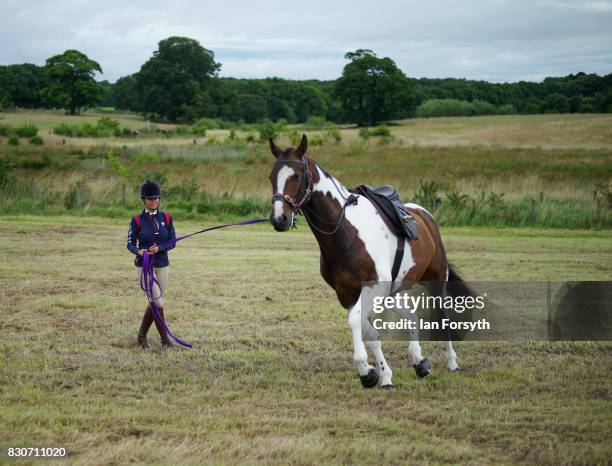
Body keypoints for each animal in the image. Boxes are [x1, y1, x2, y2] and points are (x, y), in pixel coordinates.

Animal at [268, 135, 468, 390]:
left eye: (296, 176)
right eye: (271, 177)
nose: (279, 219)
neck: (346, 233)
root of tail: (426, 216)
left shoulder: (372, 287)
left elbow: (356, 322)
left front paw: (366, 370)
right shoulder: (347, 294)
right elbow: (369, 332)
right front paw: (380, 375)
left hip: (435, 282)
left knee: (443, 318)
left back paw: (452, 362)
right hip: (390, 292)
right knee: (412, 317)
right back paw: (419, 361)